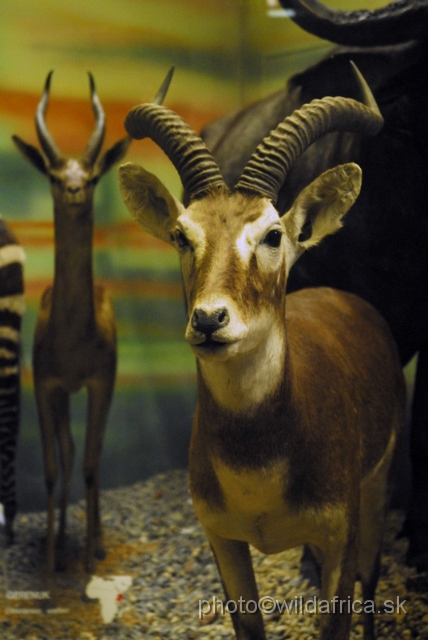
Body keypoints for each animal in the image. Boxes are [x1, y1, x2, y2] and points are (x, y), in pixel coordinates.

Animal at [12, 70, 171, 576]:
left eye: (94, 173)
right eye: (54, 174)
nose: (74, 191)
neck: (72, 339)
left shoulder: (101, 384)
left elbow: (90, 464)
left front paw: (87, 560)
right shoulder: (46, 386)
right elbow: (51, 467)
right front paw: (49, 562)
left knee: (91, 460)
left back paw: (94, 542)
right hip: (65, 396)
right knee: (66, 451)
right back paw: (64, 538)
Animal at [119, 65, 404, 640]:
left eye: (273, 234)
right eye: (181, 235)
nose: (209, 320)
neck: (259, 472)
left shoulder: (341, 533)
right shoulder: (224, 540)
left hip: (377, 487)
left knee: (372, 576)